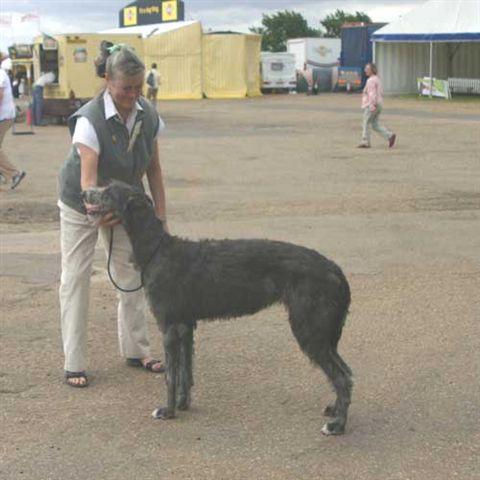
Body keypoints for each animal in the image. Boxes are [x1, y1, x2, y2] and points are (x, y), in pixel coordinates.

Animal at [83, 181, 352, 436]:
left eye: (108, 192)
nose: (84, 193)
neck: (157, 250)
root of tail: (336, 269)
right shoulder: (185, 325)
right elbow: (185, 371)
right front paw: (182, 404)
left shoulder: (169, 325)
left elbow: (170, 375)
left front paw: (168, 411)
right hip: (323, 332)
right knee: (344, 371)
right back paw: (335, 409)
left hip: (309, 329)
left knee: (342, 376)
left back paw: (337, 425)